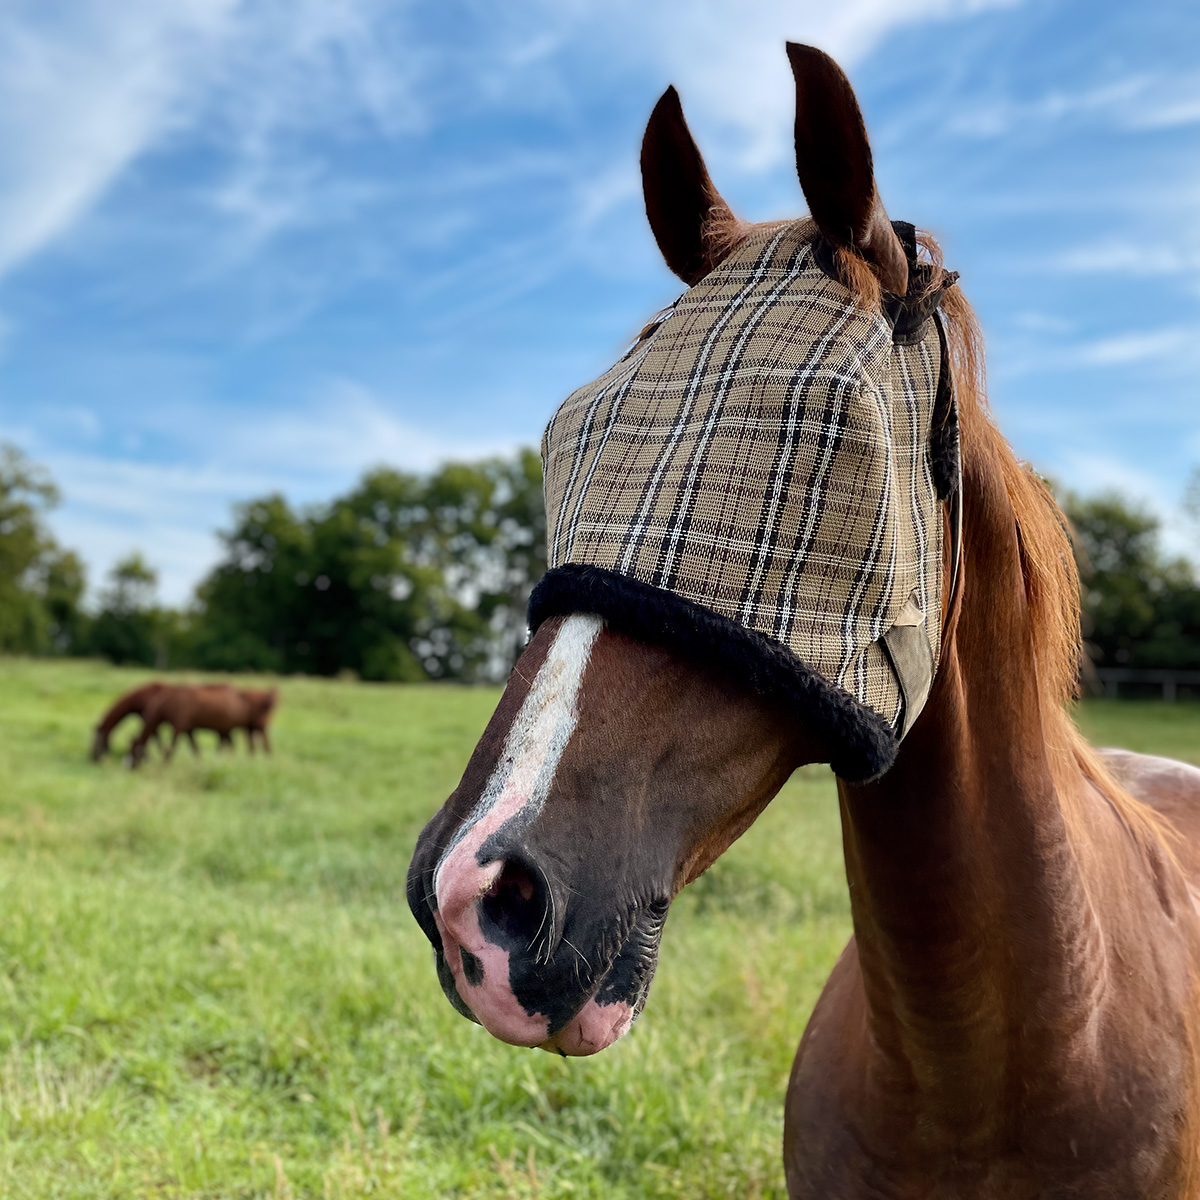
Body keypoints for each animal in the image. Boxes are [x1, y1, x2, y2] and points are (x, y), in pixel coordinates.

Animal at [130, 684, 278, 766]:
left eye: (133, 752)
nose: (131, 768)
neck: (170, 704)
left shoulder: (180, 725)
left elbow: (172, 748)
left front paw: (164, 765)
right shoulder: (188, 729)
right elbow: (195, 748)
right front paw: (199, 762)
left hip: (257, 727)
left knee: (265, 745)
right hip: (248, 727)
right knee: (251, 746)